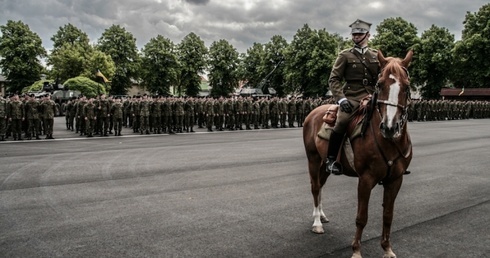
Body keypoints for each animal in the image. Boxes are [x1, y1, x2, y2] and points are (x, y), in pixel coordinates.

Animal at [302, 49, 414, 258]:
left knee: (320, 185)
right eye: (380, 84)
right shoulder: (366, 179)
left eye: (406, 86)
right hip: (312, 159)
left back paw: (321, 214)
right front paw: (356, 250)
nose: (389, 127)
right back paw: (317, 222)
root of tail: (315, 111)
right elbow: (362, 217)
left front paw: (387, 248)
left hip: (325, 164)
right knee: (315, 187)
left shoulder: (395, 180)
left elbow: (388, 215)